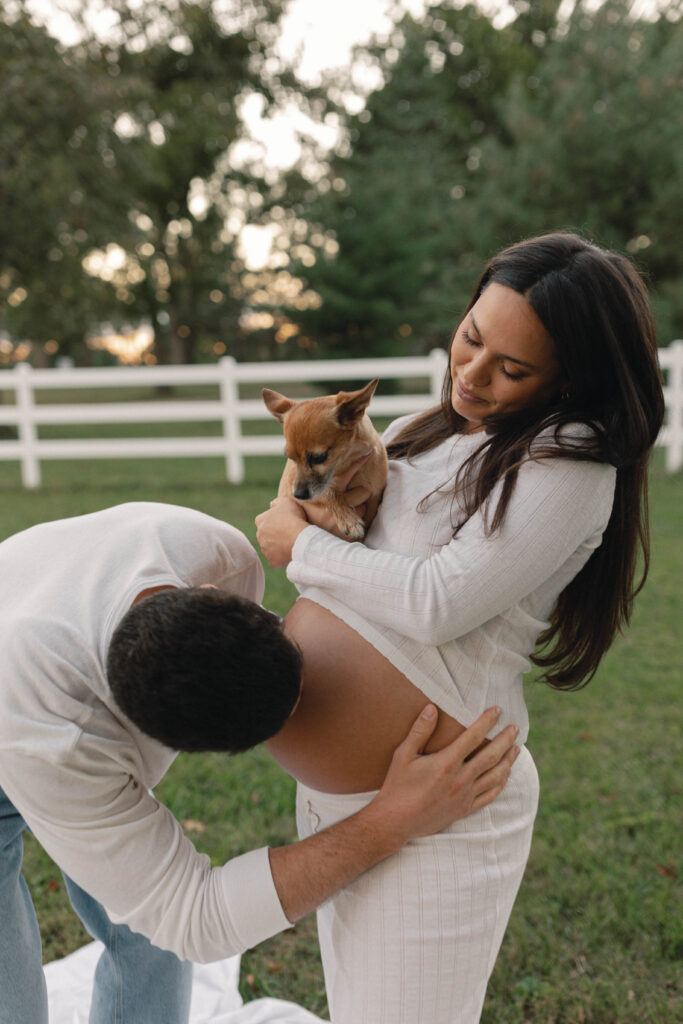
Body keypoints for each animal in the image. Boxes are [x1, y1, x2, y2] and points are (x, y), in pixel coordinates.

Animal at [264, 376, 387, 536]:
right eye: (291, 458)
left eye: (319, 457)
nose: (298, 495)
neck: (347, 461)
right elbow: (329, 491)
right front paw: (349, 519)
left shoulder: (374, 496)